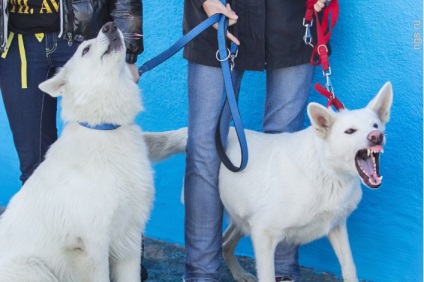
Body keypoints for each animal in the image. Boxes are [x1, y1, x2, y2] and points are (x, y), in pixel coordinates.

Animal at [0, 22, 186, 282]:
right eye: (85, 50)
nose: (110, 25)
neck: (104, 128)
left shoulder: (128, 239)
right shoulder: (92, 246)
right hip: (34, 268)